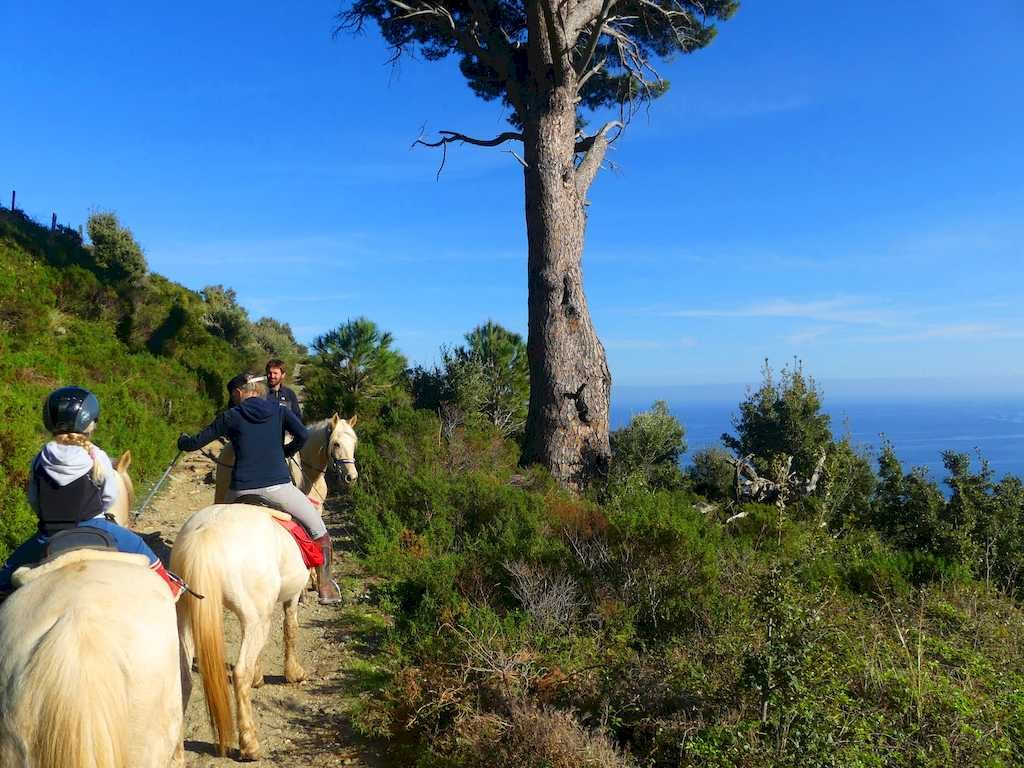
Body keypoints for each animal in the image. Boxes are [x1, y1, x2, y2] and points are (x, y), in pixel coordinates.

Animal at [171, 503, 310, 760]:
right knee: (240, 673)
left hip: (185, 618)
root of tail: (206, 533)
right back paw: (250, 746)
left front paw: (259, 677)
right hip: (255, 619)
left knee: (182, 679)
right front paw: (293, 673)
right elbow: (290, 629)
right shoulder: (291, 597)